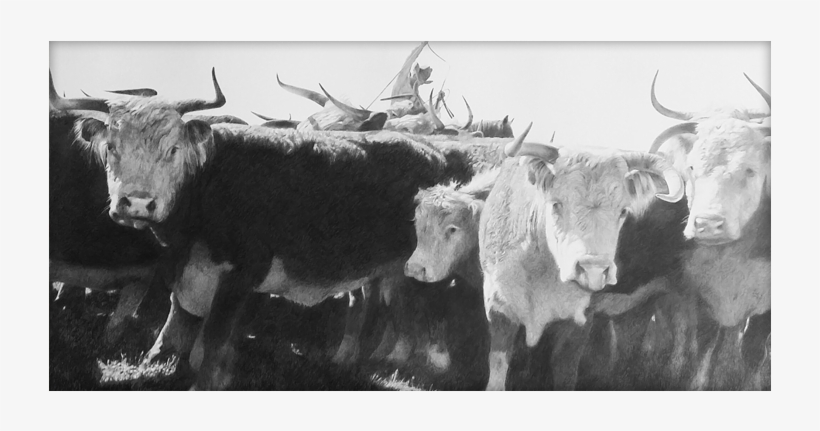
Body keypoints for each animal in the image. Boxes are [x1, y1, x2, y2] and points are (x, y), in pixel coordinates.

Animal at [51, 68, 487, 390]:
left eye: (173, 150)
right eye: (111, 148)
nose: (138, 203)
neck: (209, 183)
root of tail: (430, 150)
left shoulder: (241, 274)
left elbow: (214, 339)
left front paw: (203, 380)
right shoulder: (187, 270)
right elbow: (176, 324)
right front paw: (157, 361)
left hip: (422, 264)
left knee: (424, 303)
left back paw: (425, 361)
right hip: (375, 266)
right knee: (366, 301)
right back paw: (350, 358)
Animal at [479, 123, 686, 390]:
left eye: (623, 211)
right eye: (556, 204)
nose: (593, 269)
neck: (540, 271)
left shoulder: (578, 320)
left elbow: (565, 371)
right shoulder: (499, 311)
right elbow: (497, 372)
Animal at [649, 71, 771, 390]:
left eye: (750, 170)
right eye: (691, 167)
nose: (707, 224)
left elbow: (753, 351)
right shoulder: (698, 295)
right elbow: (704, 344)